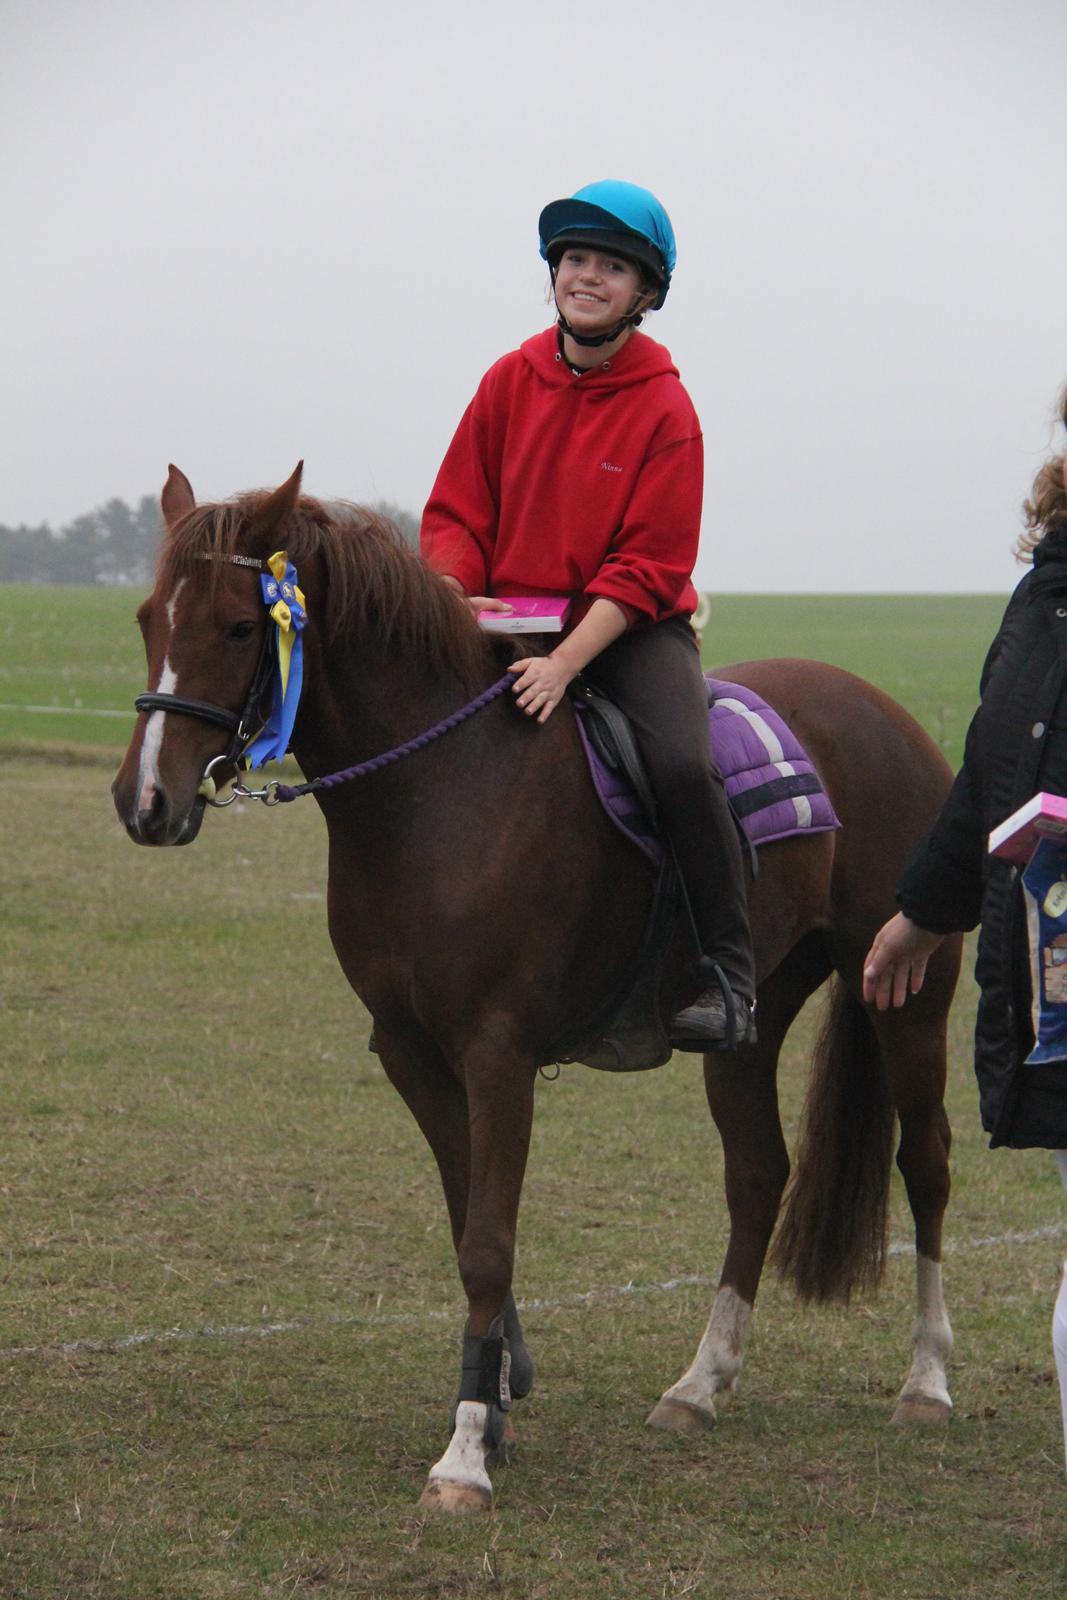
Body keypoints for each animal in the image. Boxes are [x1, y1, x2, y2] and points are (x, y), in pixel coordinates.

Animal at [112, 464, 962, 1514]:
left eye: (239, 628)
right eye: (149, 617)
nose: (146, 802)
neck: (444, 788)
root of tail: (884, 712)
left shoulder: (497, 1054)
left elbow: (487, 1240)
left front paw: (465, 1455)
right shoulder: (412, 1053)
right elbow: (466, 1218)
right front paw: (501, 1392)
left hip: (908, 994)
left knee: (925, 1162)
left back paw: (925, 1381)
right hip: (752, 1021)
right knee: (758, 1174)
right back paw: (700, 1384)